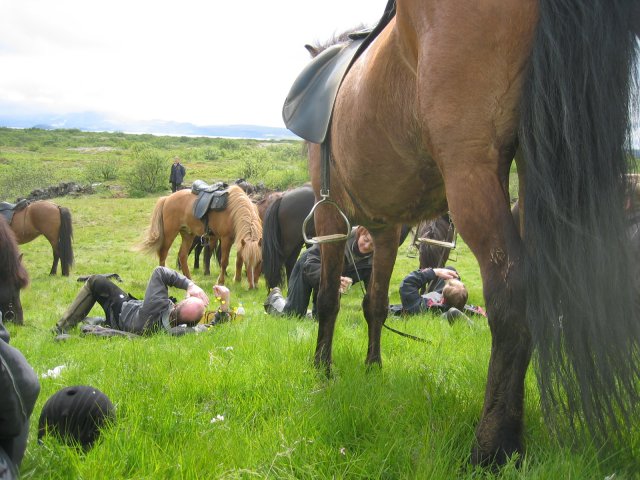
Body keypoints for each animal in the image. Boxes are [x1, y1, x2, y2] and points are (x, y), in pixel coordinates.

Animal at [300, 0, 640, 464]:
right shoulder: (386, 231)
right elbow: (374, 304)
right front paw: (373, 368)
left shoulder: (330, 221)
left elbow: (329, 300)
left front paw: (323, 368)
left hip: (472, 169)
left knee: (512, 296)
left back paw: (493, 446)